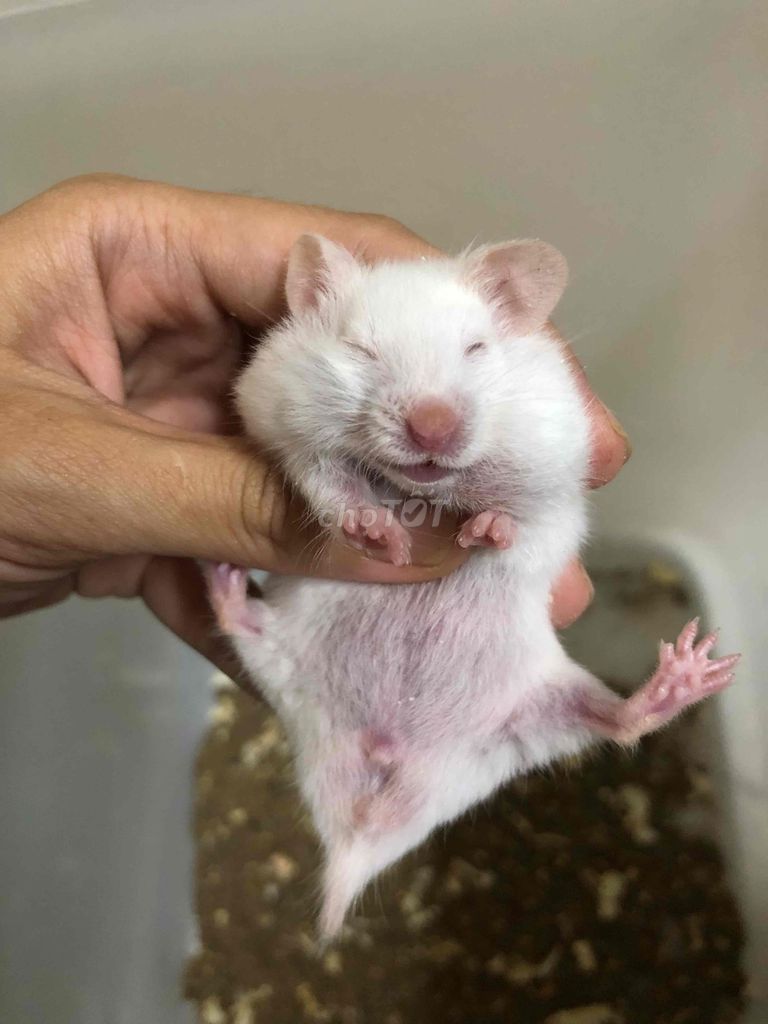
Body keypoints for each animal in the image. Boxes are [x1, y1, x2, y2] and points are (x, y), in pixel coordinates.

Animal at [206, 234, 739, 940]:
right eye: (361, 349)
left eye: (476, 348)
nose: (433, 427)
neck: (427, 486)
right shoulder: (287, 432)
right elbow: (333, 490)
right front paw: (387, 539)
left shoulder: (556, 460)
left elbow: (526, 513)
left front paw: (485, 531)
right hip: (284, 665)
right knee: (245, 629)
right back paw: (222, 582)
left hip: (532, 715)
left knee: (619, 722)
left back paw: (691, 669)